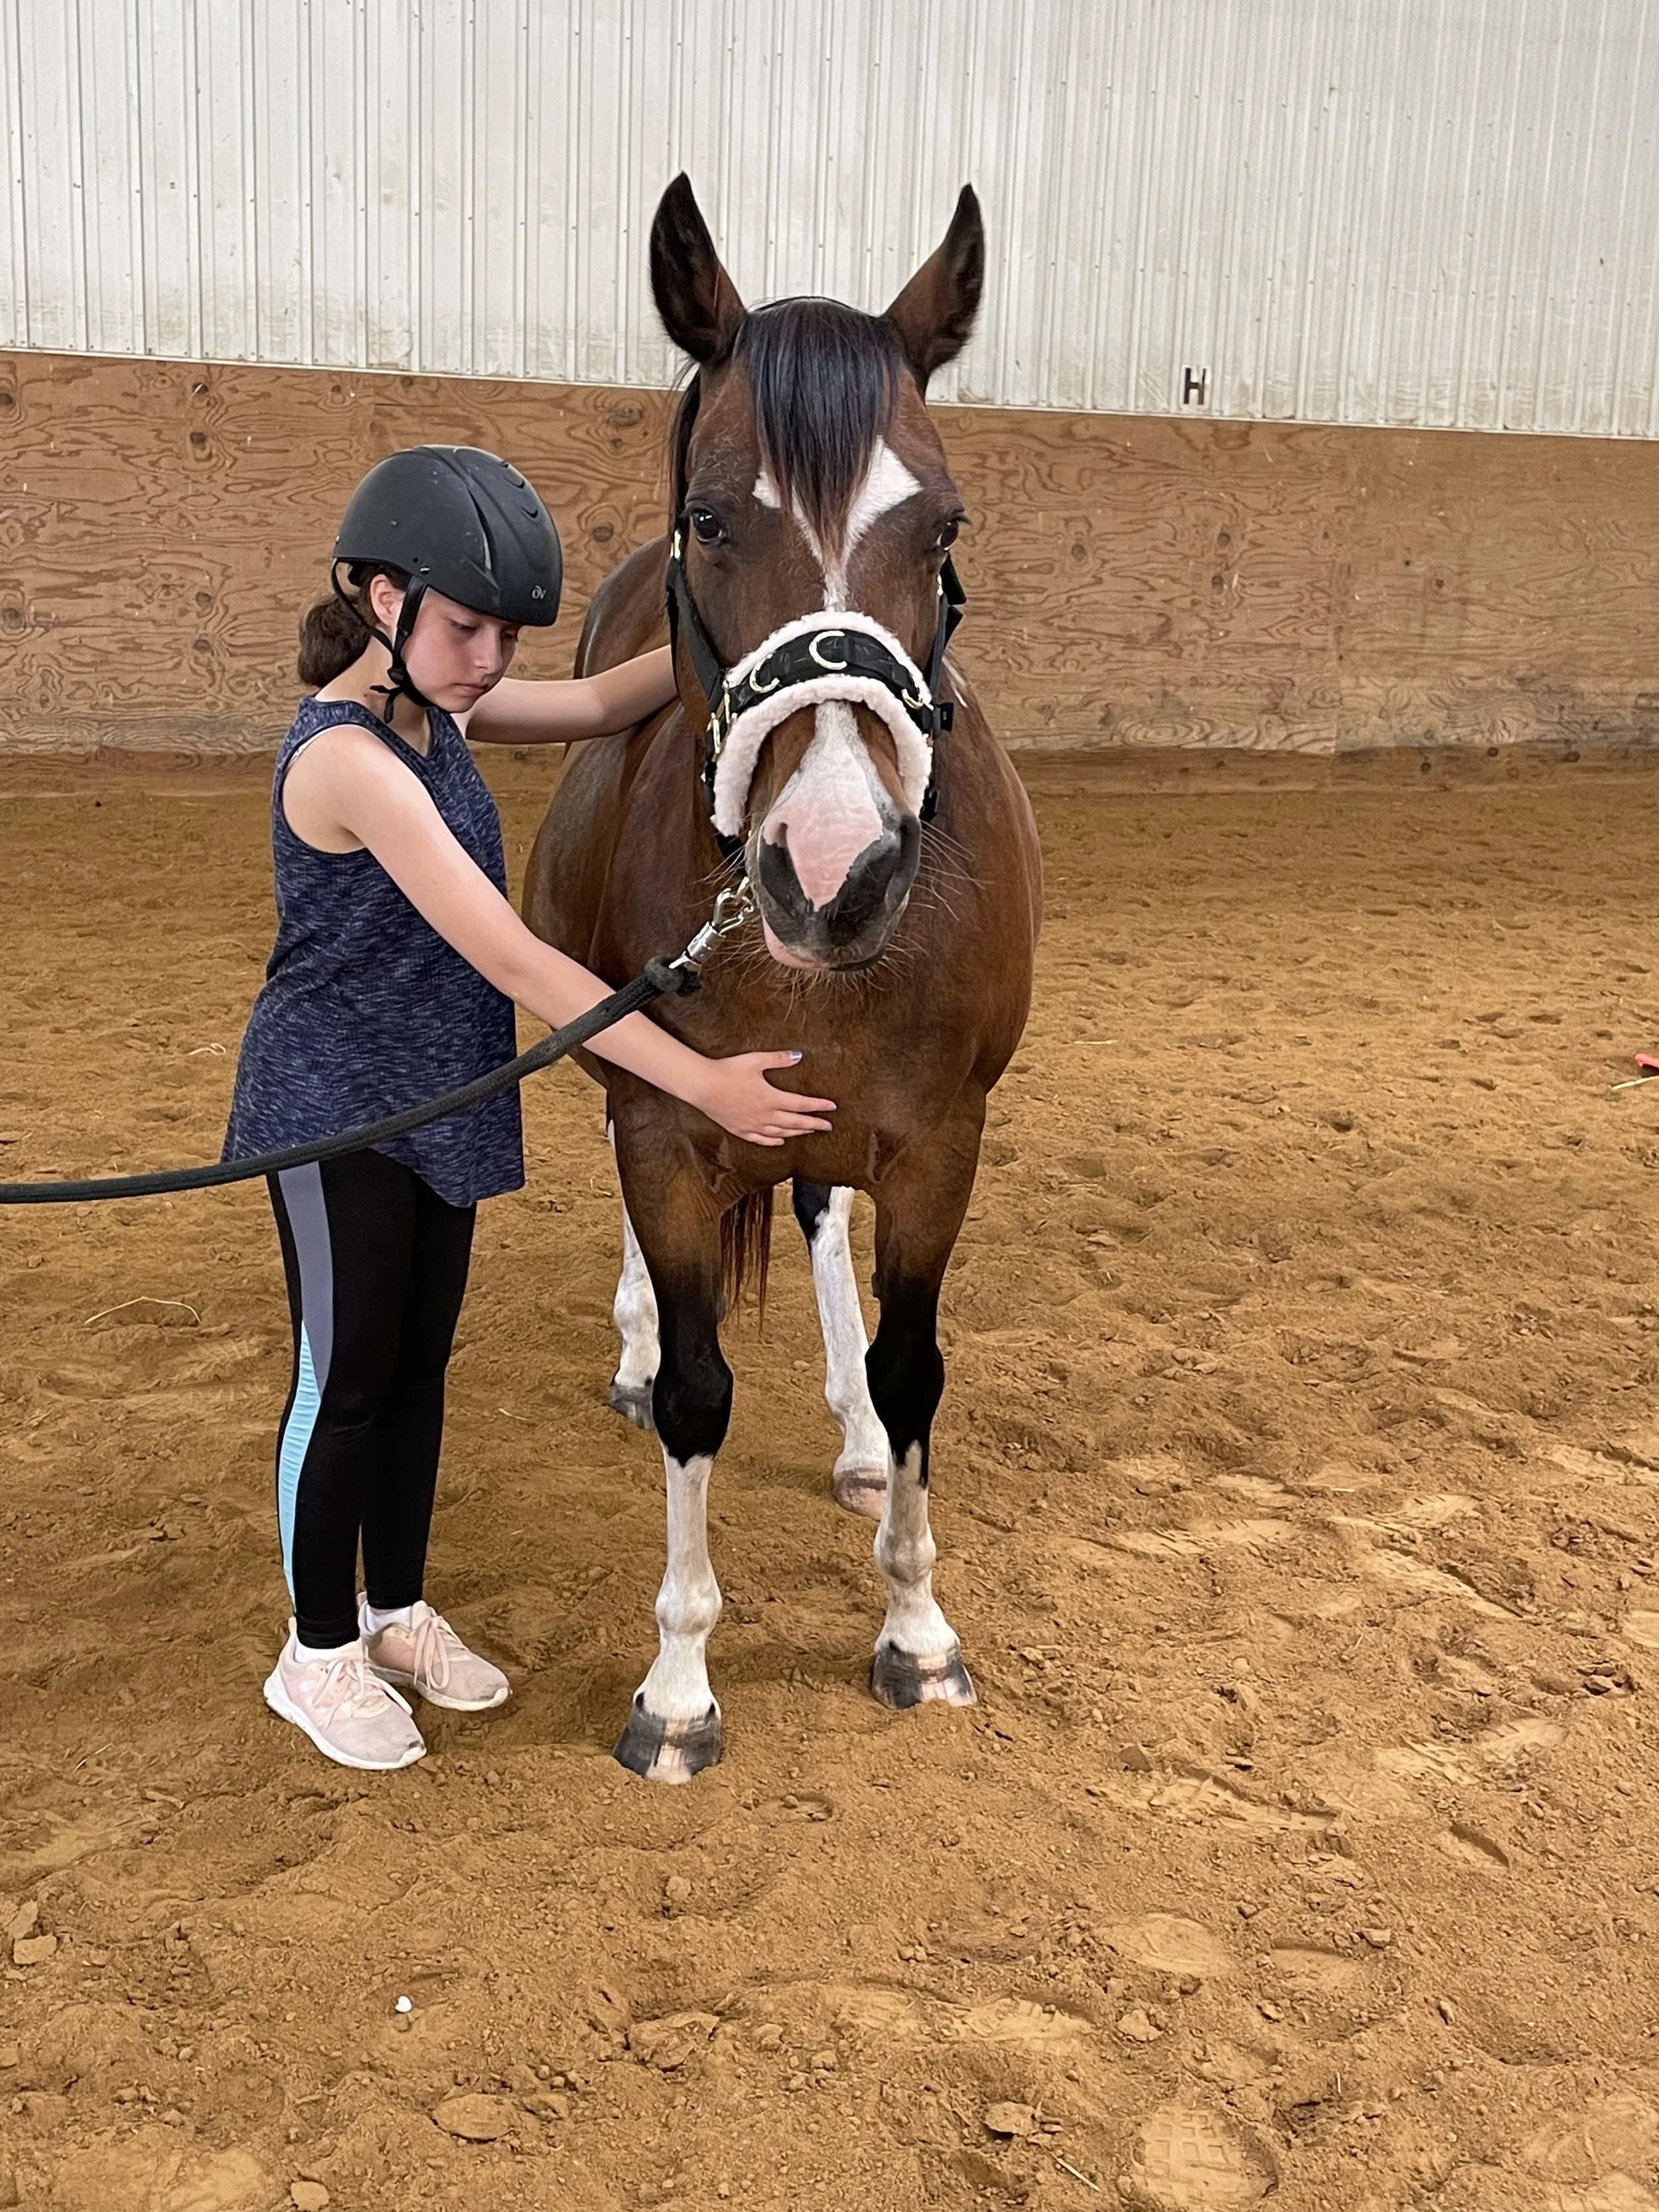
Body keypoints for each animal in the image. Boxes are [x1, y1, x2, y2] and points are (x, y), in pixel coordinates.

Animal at [524, 174, 1042, 1783]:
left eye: (942, 526)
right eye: (711, 518)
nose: (835, 864)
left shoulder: (942, 1138)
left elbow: (914, 1362)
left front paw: (916, 1628)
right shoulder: (670, 1126)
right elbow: (701, 1389)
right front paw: (680, 1682)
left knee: (820, 1217)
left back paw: (858, 1444)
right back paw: (636, 1350)